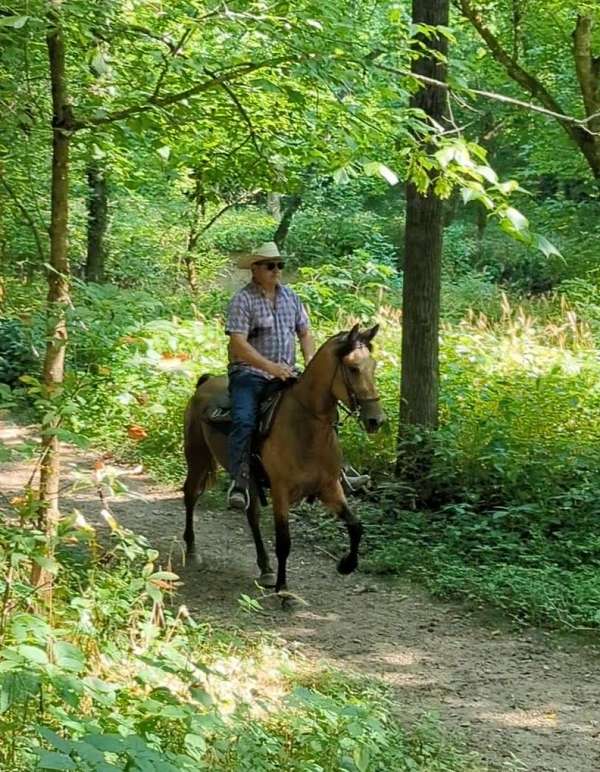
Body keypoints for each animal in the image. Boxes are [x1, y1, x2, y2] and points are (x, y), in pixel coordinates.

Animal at [183, 322, 384, 596]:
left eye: (372, 366)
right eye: (353, 368)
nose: (376, 420)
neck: (306, 429)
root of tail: (204, 383)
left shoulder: (329, 487)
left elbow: (356, 525)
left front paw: (347, 564)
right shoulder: (281, 491)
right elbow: (284, 542)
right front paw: (285, 591)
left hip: (248, 479)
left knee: (252, 515)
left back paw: (265, 568)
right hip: (198, 458)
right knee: (191, 495)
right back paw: (192, 552)